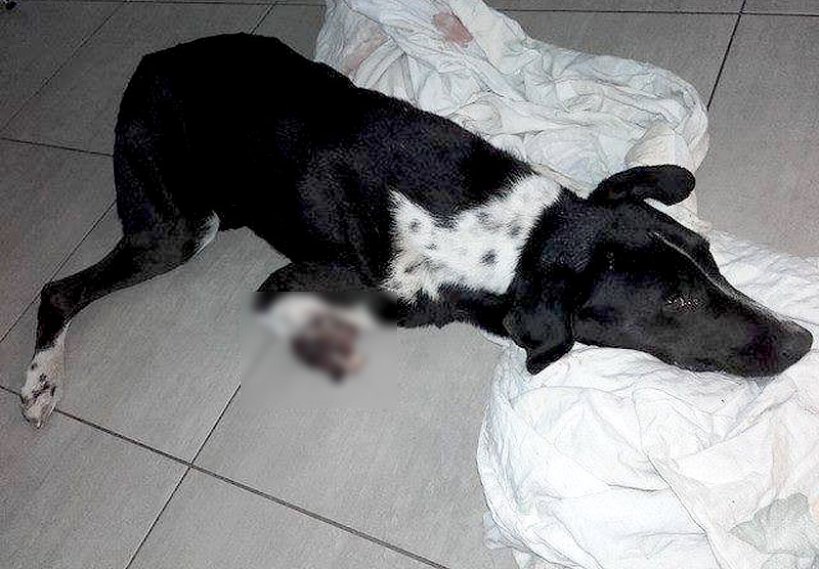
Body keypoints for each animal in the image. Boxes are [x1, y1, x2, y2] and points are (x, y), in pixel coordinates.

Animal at [20, 34, 813, 426]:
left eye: (710, 256)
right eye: (674, 301)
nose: (803, 340)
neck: (513, 235)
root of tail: (153, 58)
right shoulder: (294, 279)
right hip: (180, 227)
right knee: (59, 290)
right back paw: (40, 381)